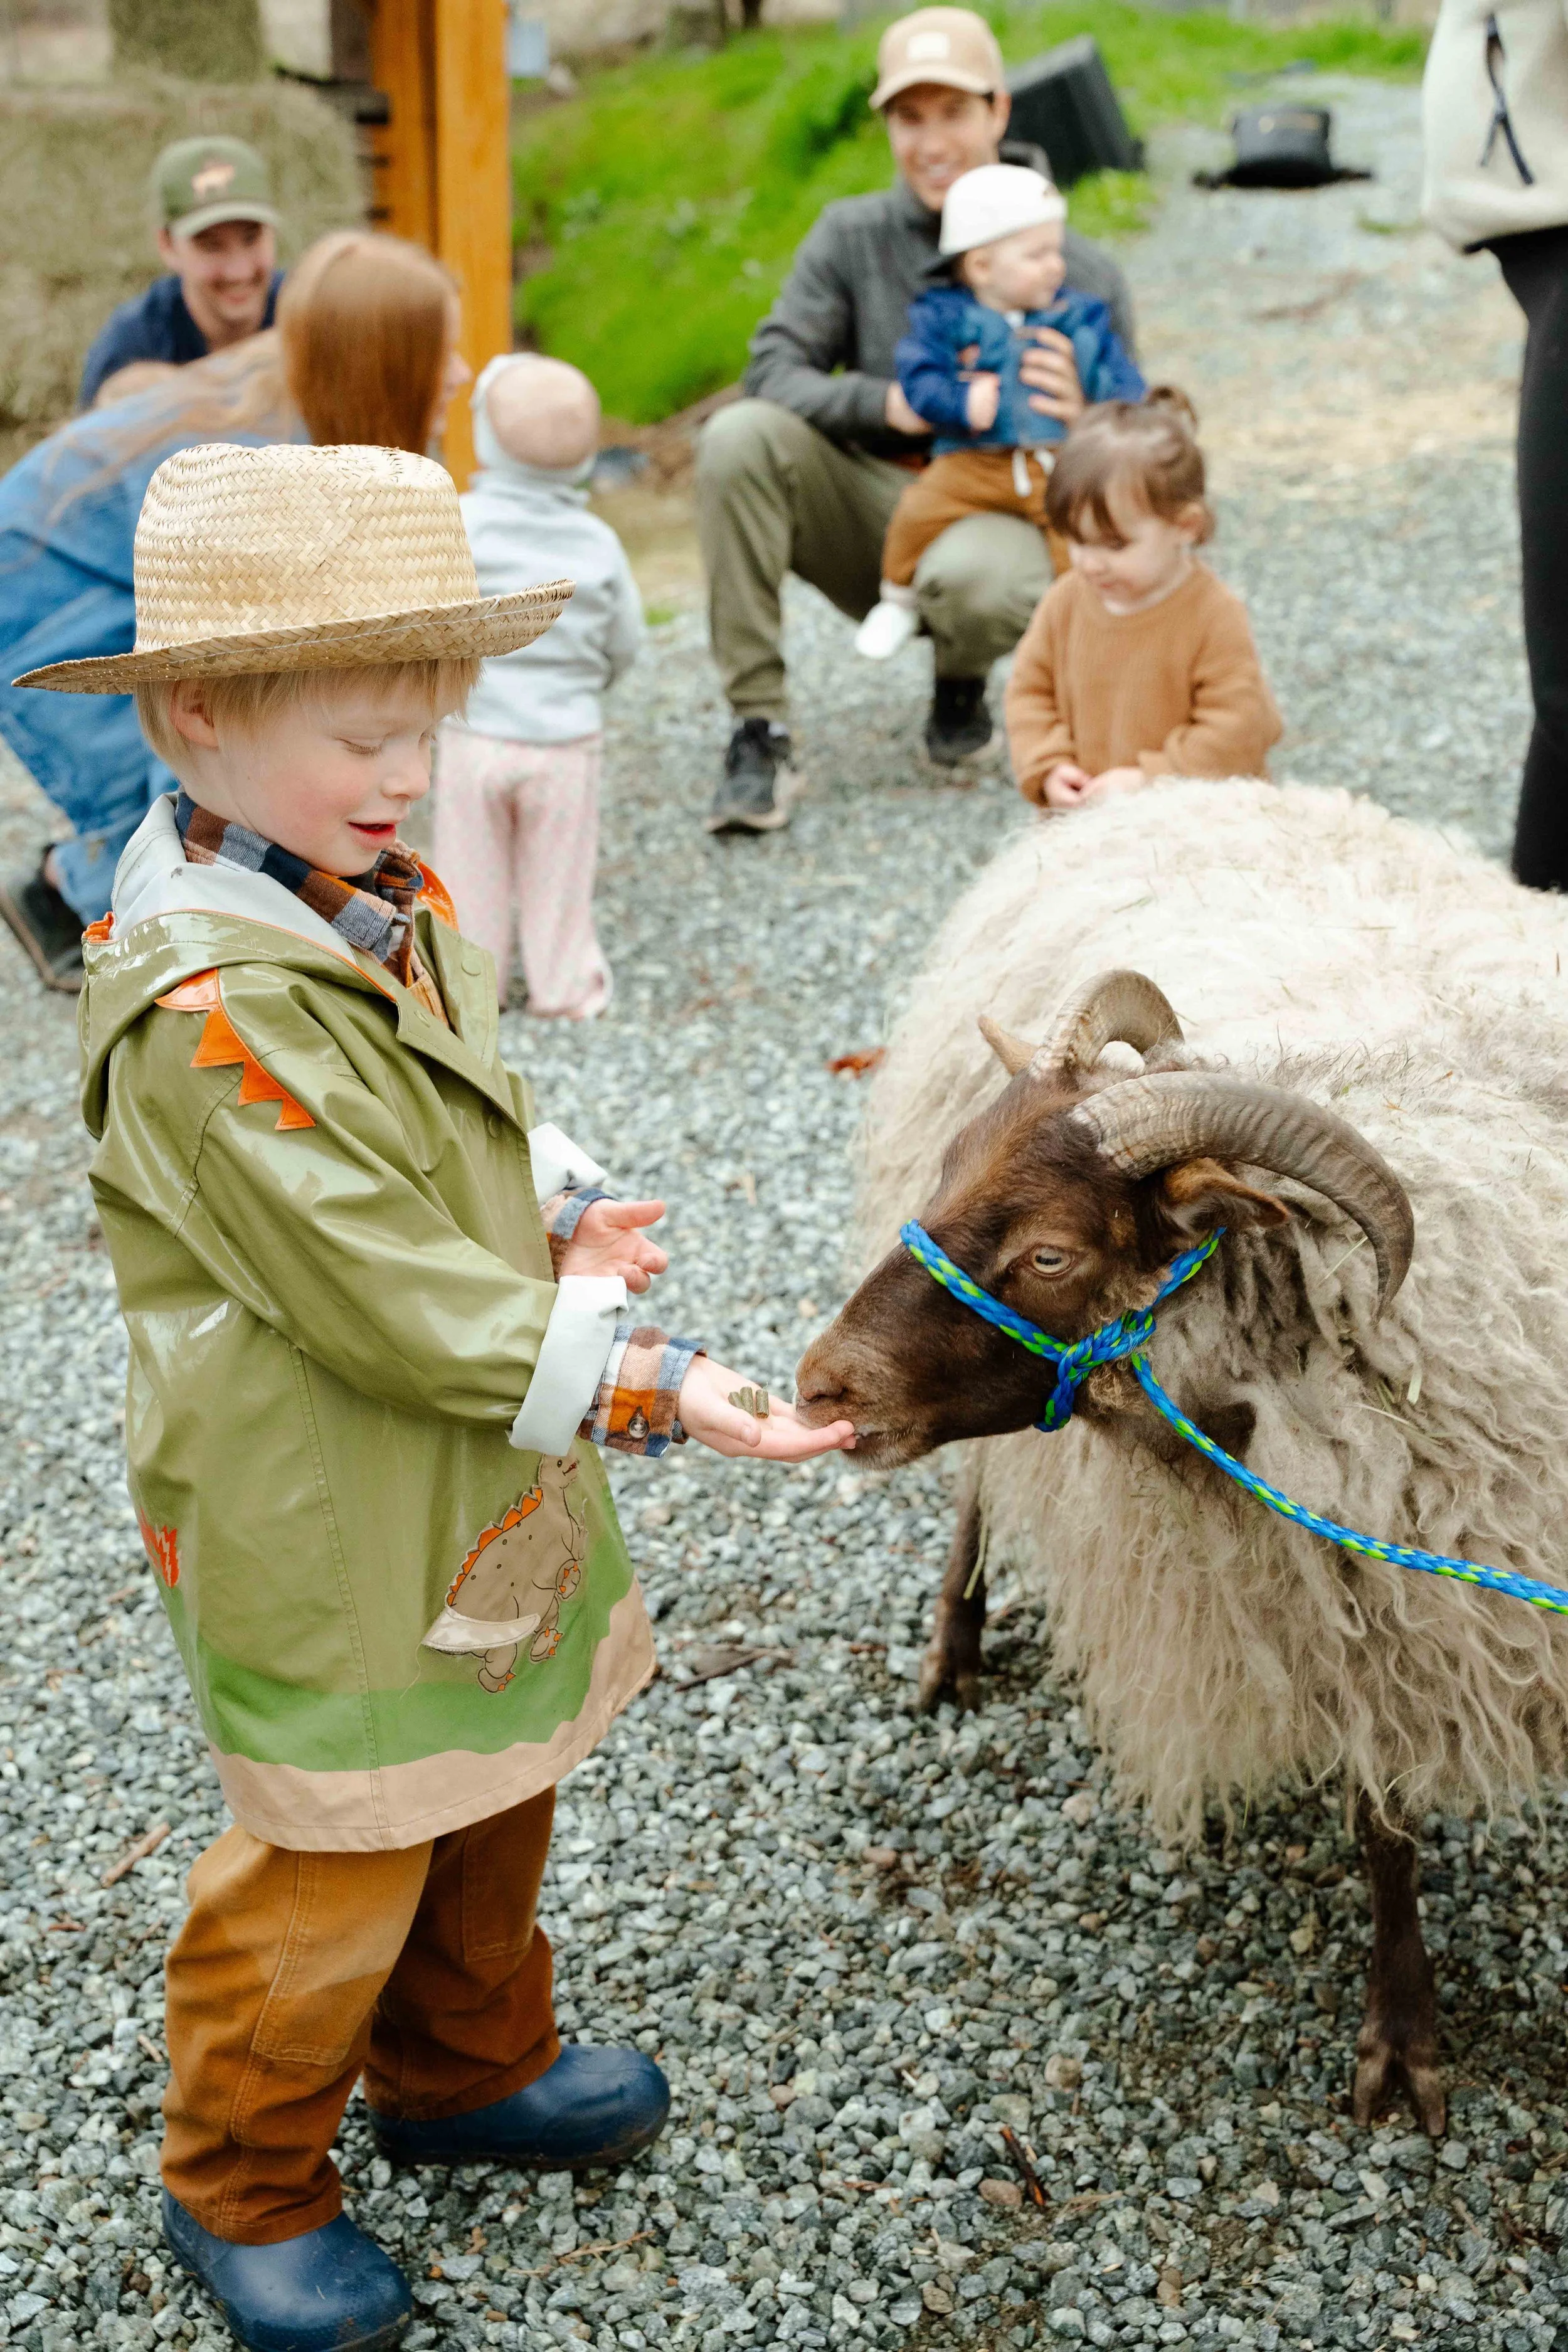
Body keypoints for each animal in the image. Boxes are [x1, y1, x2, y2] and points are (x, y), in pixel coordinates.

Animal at [796, 777, 1568, 2137]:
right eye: (947, 1172)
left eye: (1050, 1256)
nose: (820, 1383)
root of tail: (1171, 784)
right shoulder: (1363, 1604)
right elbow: (1385, 1828)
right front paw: (1403, 2040)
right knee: (981, 1491)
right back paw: (951, 1644)